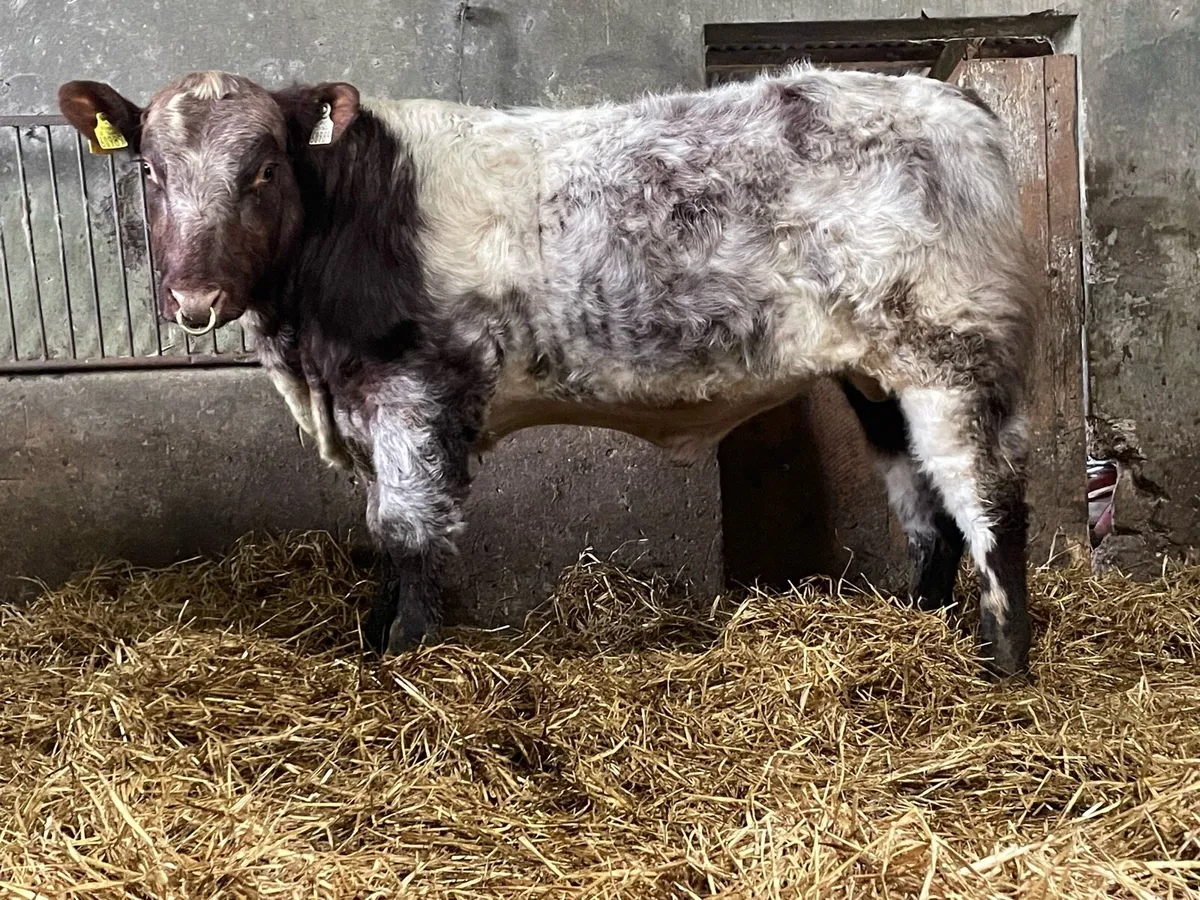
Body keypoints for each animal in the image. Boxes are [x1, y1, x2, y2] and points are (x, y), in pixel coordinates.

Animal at [57, 64, 1037, 678]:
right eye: (150, 169)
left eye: (263, 170)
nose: (194, 296)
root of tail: (952, 98)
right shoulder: (363, 405)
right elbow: (378, 530)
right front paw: (374, 638)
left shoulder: (417, 394)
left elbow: (410, 533)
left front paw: (401, 659)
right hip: (878, 379)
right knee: (926, 511)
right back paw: (915, 627)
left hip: (952, 351)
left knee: (988, 498)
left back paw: (1005, 667)